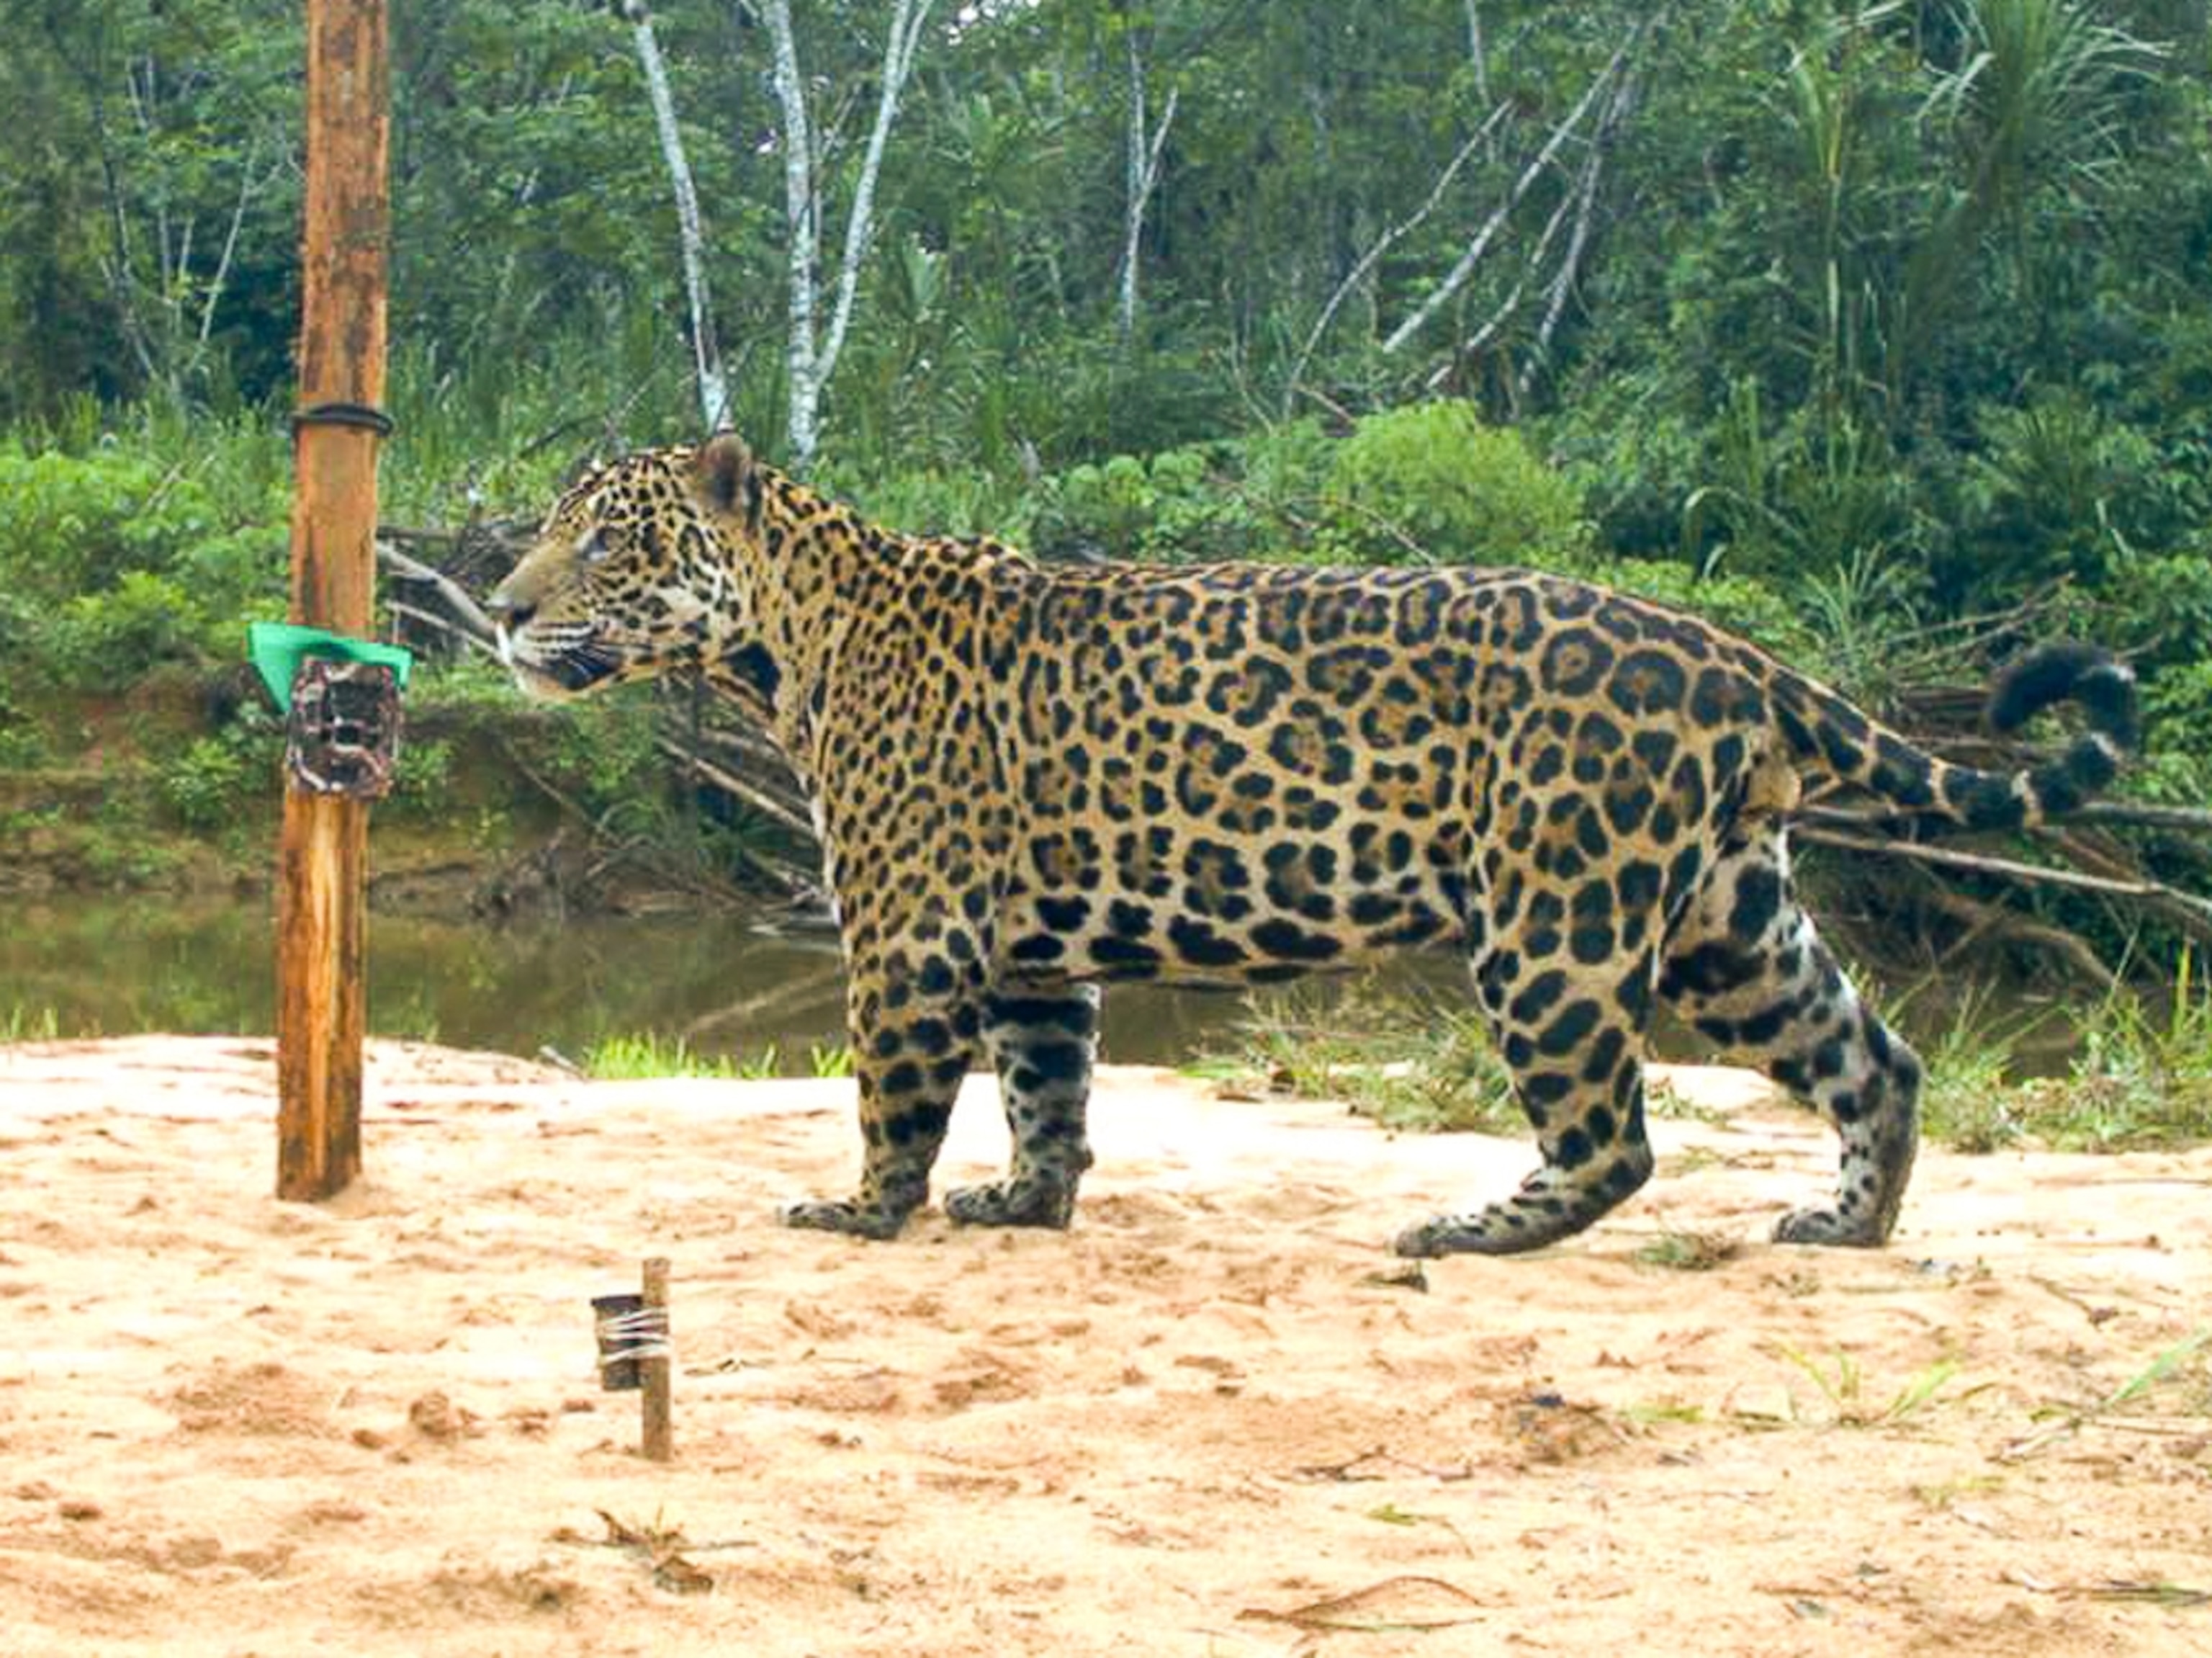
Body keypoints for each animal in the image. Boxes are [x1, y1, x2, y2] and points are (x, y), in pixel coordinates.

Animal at [486, 433, 2136, 1257]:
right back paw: (1848, 1220)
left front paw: (863, 1210)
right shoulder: (1028, 944)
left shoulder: (912, 930)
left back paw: (1476, 1227)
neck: (784, 644)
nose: (499, 607)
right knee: (1876, 1057)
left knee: (1613, 1129)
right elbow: (1046, 1086)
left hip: (1555, 919)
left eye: (607, 537)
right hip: (1726, 918)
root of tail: (1730, 651)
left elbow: (901, 1089)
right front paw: (1027, 1203)